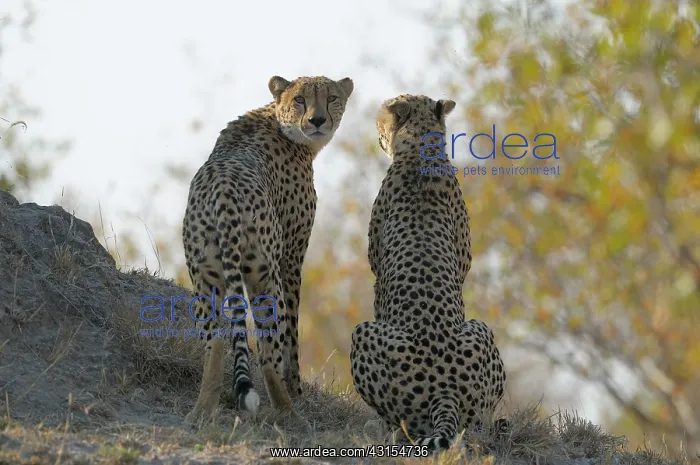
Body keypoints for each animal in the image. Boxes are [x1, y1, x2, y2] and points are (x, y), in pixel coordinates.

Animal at [182, 75, 354, 426]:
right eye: (300, 99)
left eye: (331, 97)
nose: (317, 120)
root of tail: (223, 192)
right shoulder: (291, 259)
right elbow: (293, 332)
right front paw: (297, 390)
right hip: (264, 277)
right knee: (267, 350)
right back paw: (289, 413)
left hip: (205, 280)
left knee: (214, 344)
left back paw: (201, 412)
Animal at [350, 94, 507, 453]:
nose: (377, 134)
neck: (423, 146)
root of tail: (445, 392)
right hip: (480, 330)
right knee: (479, 425)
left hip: (362, 333)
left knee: (396, 423)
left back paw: (377, 426)